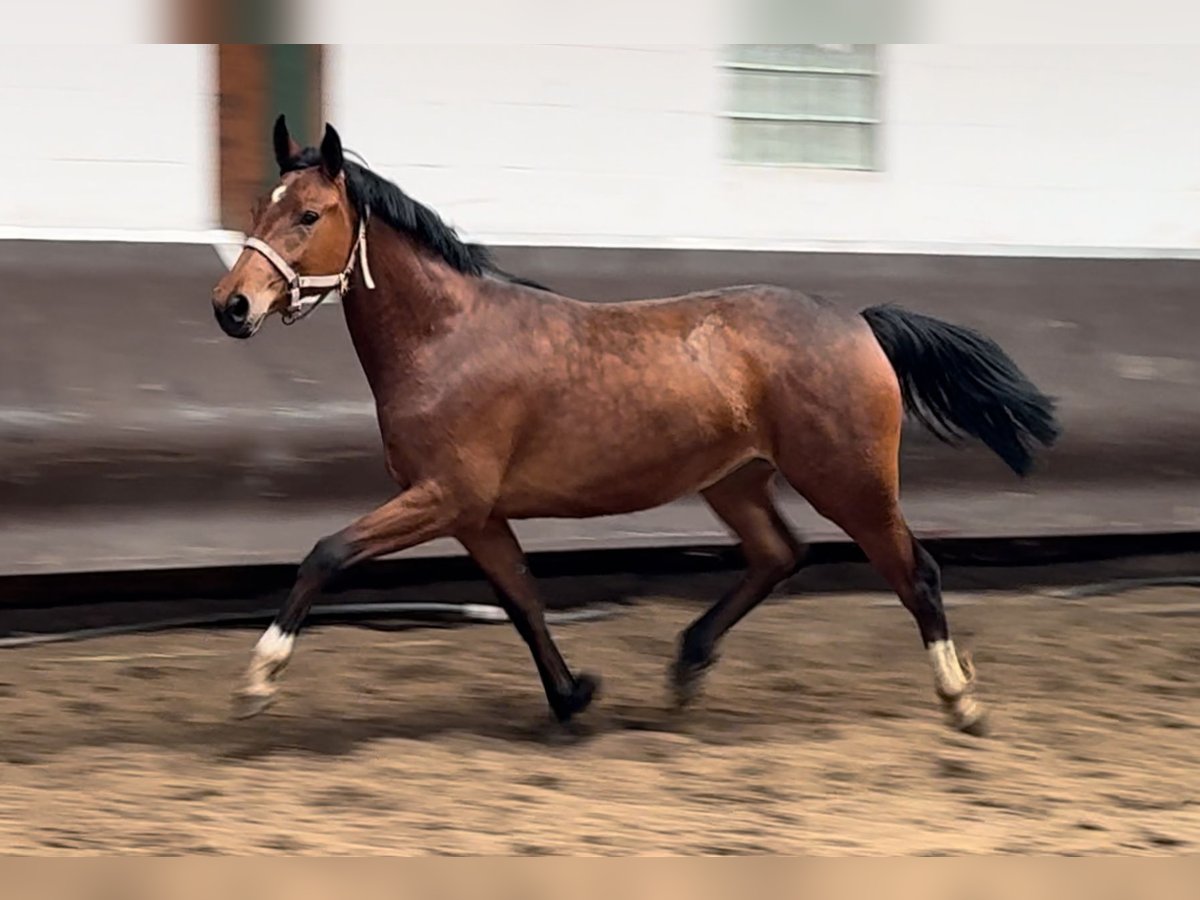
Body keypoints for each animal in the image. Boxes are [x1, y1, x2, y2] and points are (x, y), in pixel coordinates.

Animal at [211, 118, 1056, 739]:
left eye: (309, 214)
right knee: (780, 554)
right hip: (736, 480)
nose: (231, 306)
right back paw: (685, 667)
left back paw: (961, 701)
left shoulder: (445, 496)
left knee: (916, 572)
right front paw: (574, 696)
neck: (446, 337)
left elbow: (327, 553)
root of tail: (860, 323)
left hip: (850, 481)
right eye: (257, 209)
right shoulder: (476, 514)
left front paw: (258, 680)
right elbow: (523, 599)